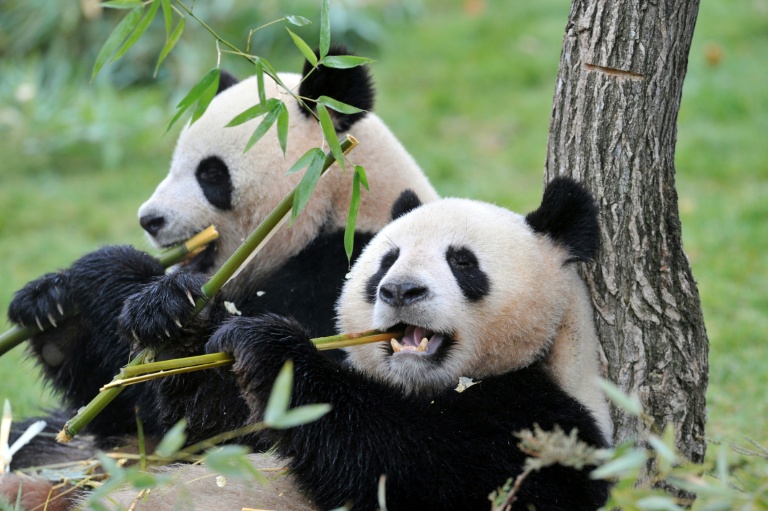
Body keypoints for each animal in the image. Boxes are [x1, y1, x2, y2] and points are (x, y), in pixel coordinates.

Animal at [5, 47, 438, 457]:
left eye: (211, 173)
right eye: (173, 166)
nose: (150, 219)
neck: (339, 205)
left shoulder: (341, 277)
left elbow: (233, 420)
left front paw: (159, 303)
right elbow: (128, 413)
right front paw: (50, 302)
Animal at [88, 178, 611, 511]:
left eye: (463, 262)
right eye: (386, 261)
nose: (400, 290)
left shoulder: (544, 424)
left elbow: (411, 469)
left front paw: (273, 348)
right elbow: (217, 432)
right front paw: (175, 313)